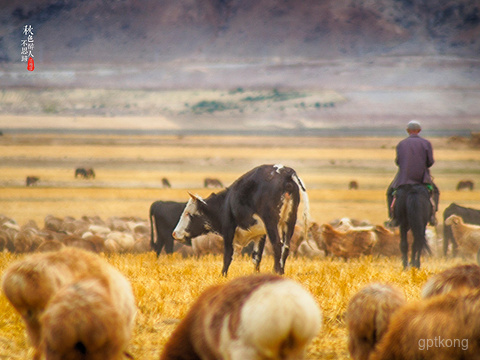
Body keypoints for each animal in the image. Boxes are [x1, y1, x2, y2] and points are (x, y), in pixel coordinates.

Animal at [174, 165, 310, 278]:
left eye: (188, 213)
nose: (174, 233)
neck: (225, 204)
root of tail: (285, 172)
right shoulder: (260, 234)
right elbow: (256, 257)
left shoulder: (228, 231)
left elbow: (227, 255)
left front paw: (222, 275)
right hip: (289, 222)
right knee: (285, 247)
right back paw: (281, 272)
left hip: (271, 223)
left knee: (277, 245)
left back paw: (276, 272)